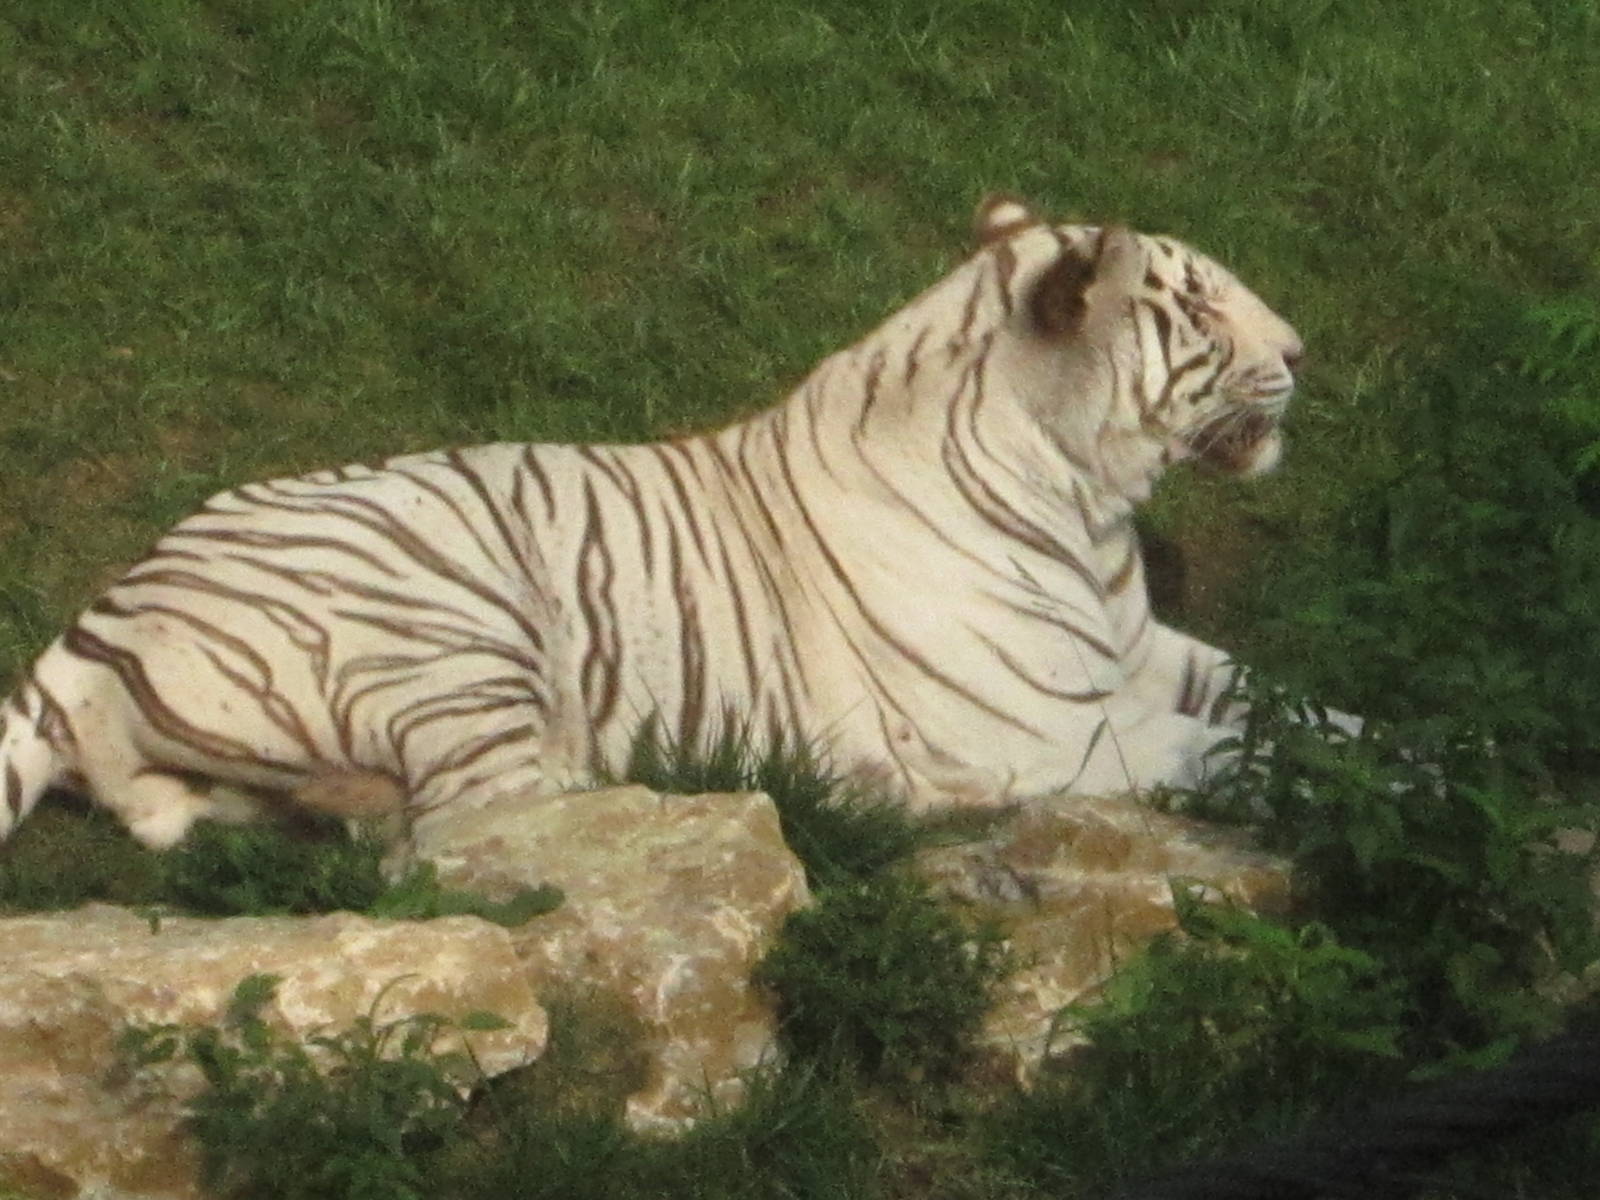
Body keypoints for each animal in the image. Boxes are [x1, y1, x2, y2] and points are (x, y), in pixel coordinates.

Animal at [0, 195, 1311, 852]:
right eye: (1200, 310)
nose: (1301, 350)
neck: (1088, 503)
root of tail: (90, 621)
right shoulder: (1057, 731)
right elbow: (1234, 752)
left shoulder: (1141, 655)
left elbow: (1287, 705)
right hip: (454, 633)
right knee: (473, 837)